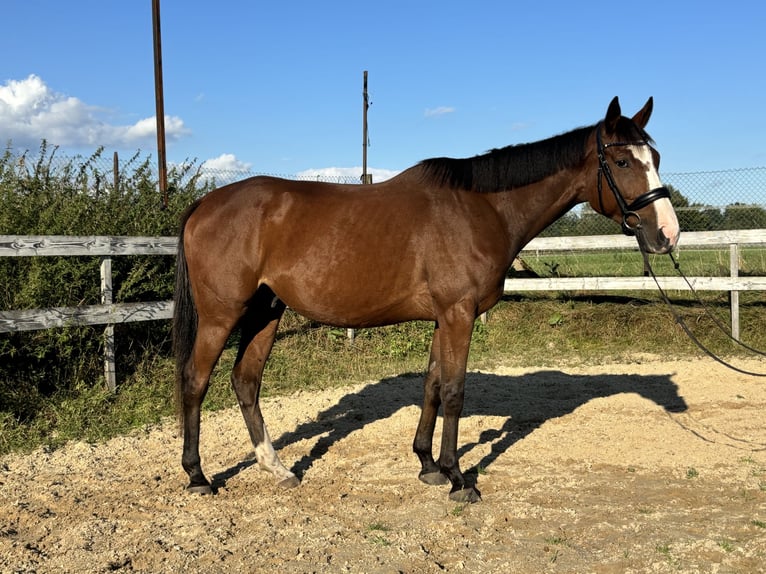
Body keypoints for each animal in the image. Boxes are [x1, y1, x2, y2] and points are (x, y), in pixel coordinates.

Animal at [172, 98, 680, 504]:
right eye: (622, 162)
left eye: (655, 156)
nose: (667, 234)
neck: (483, 208)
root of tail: (204, 204)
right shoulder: (459, 314)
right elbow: (454, 391)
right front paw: (459, 480)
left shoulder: (443, 317)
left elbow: (432, 386)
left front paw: (428, 466)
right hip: (222, 315)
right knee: (196, 381)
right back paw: (197, 476)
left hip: (266, 311)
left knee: (246, 381)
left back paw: (278, 469)